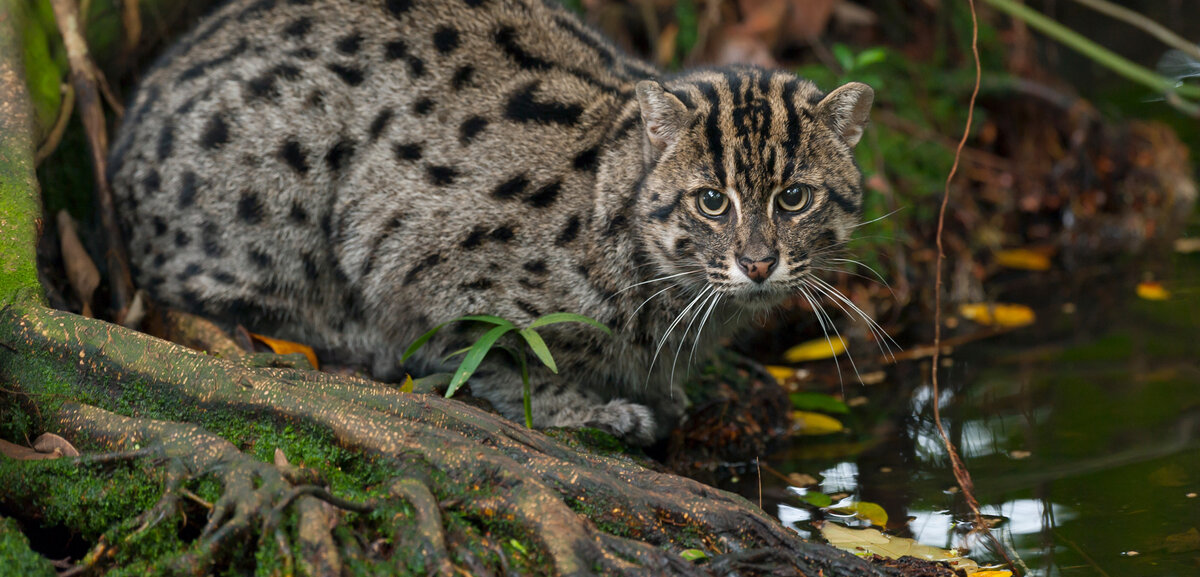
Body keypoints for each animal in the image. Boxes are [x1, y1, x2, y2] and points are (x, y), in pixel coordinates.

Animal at [110, 0, 873, 443]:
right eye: (712, 200)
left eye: (795, 198)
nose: (758, 262)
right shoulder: (407, 258)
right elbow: (499, 357)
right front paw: (588, 407)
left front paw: (656, 386)